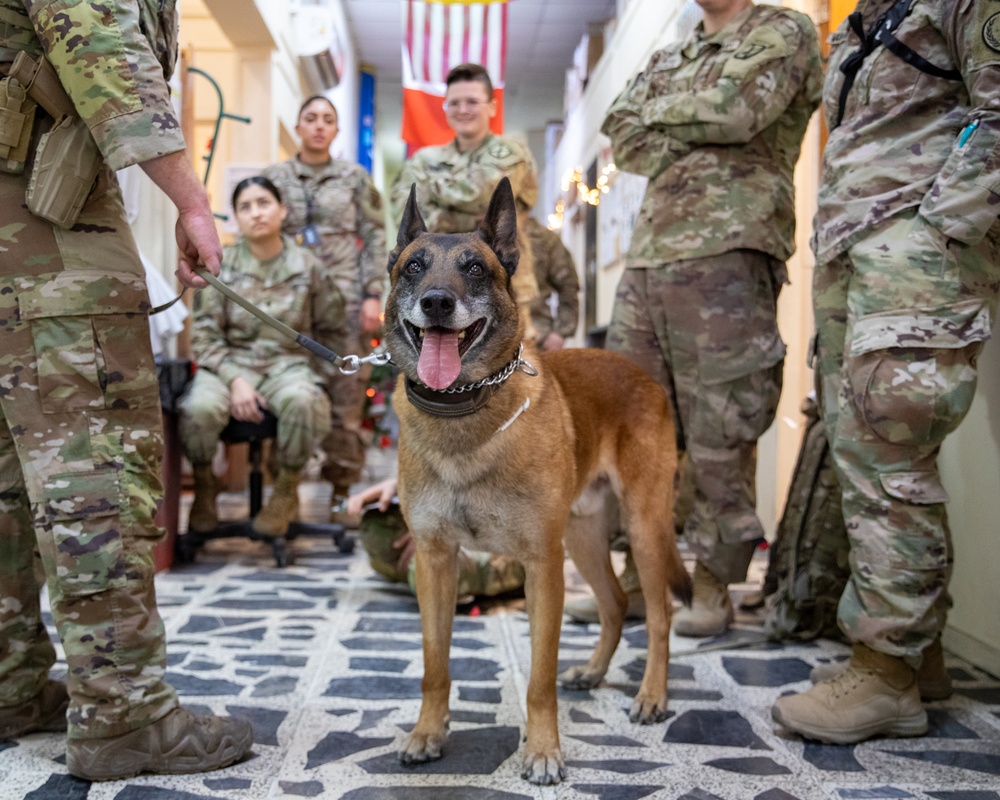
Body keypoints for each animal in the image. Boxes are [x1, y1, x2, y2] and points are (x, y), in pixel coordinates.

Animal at [384, 178, 696, 784]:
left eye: (474, 268)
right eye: (414, 266)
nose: (437, 302)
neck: (464, 410)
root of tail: (643, 374)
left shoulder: (541, 566)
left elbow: (539, 677)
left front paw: (545, 750)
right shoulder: (435, 562)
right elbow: (435, 664)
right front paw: (428, 732)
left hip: (643, 531)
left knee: (659, 614)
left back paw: (651, 695)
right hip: (583, 538)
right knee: (615, 604)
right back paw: (594, 671)